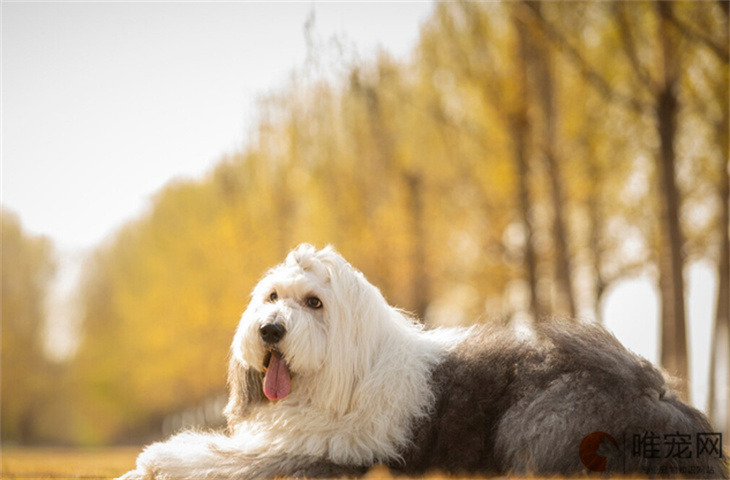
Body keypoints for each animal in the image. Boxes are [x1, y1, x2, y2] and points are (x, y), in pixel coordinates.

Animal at [119, 246, 724, 478]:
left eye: (314, 302)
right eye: (271, 297)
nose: (269, 330)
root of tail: (659, 394)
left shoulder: (311, 455)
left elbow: (218, 460)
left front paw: (155, 459)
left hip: (542, 415)